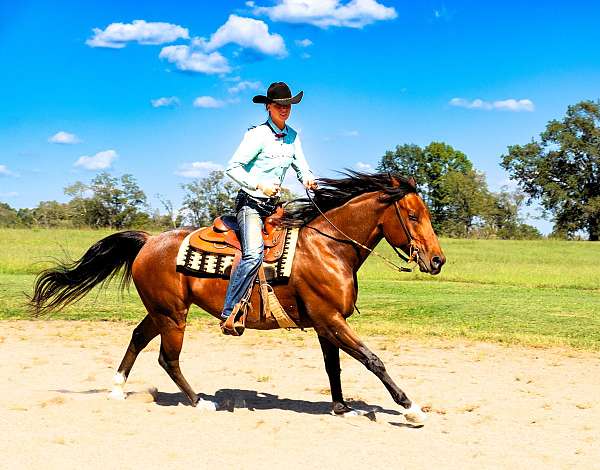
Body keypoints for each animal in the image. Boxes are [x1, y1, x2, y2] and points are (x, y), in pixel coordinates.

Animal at [31, 171, 446, 424]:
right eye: (412, 215)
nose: (437, 260)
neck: (328, 249)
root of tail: (149, 240)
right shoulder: (331, 319)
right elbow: (372, 360)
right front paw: (412, 409)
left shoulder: (325, 324)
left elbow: (335, 367)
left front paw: (342, 408)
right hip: (173, 316)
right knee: (168, 358)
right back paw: (202, 401)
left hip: (161, 311)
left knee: (137, 338)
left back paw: (117, 390)